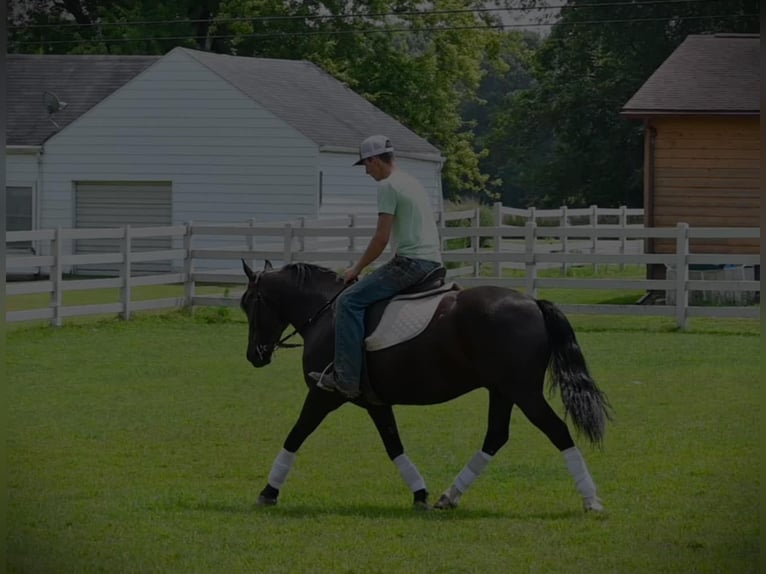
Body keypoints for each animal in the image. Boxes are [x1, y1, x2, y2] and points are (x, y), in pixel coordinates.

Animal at [240, 259, 611, 512]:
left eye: (249, 304)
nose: (254, 356)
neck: (326, 313)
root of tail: (532, 302)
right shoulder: (375, 402)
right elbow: (393, 445)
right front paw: (420, 493)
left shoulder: (322, 394)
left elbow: (295, 435)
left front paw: (268, 492)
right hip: (502, 391)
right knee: (495, 436)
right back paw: (449, 496)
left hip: (524, 392)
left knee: (557, 431)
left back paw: (591, 500)